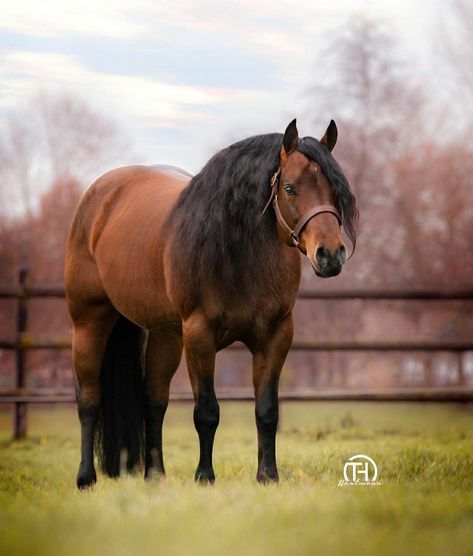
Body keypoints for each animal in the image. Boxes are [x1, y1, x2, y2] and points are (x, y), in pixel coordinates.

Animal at [64, 117, 356, 486]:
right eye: (289, 188)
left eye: (335, 190)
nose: (330, 255)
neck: (238, 251)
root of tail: (97, 197)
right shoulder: (199, 334)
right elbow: (206, 411)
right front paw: (205, 477)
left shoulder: (276, 336)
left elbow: (266, 410)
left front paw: (267, 476)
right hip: (89, 322)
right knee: (89, 399)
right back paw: (85, 478)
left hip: (166, 335)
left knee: (154, 400)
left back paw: (155, 476)